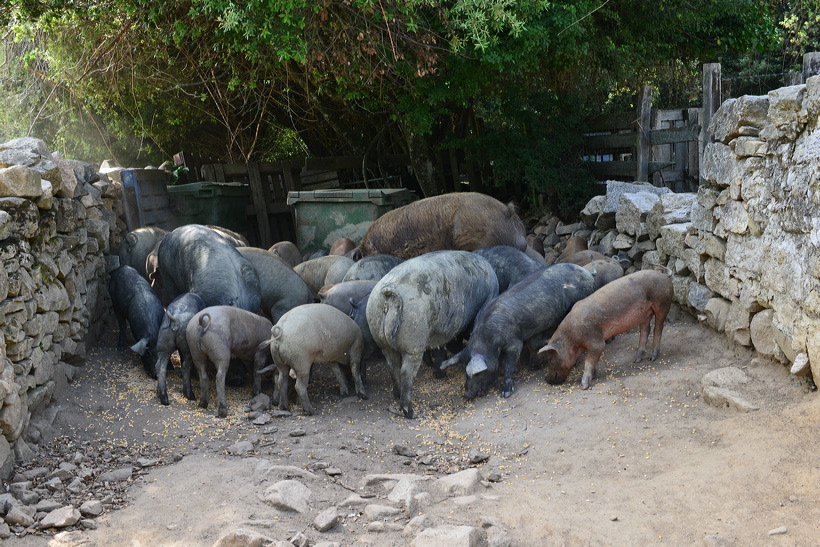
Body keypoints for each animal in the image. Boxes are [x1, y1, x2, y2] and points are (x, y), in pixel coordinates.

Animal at [366, 253, 496, 420]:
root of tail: (389, 294)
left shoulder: (439, 333)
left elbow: (440, 350)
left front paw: (440, 375)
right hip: (413, 341)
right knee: (406, 372)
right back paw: (410, 412)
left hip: (380, 337)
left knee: (392, 366)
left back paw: (396, 394)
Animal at [442, 262, 596, 398]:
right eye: (464, 372)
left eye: (477, 373)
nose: (467, 395)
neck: (488, 340)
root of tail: (587, 272)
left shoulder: (514, 342)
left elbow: (509, 365)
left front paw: (505, 393)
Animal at [540, 268, 672, 390]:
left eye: (550, 360)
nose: (547, 379)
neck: (572, 338)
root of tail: (664, 275)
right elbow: (594, 361)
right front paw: (594, 375)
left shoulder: (596, 341)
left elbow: (589, 362)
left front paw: (584, 386)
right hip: (645, 313)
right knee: (645, 330)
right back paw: (636, 359)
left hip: (662, 302)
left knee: (658, 328)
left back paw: (652, 358)